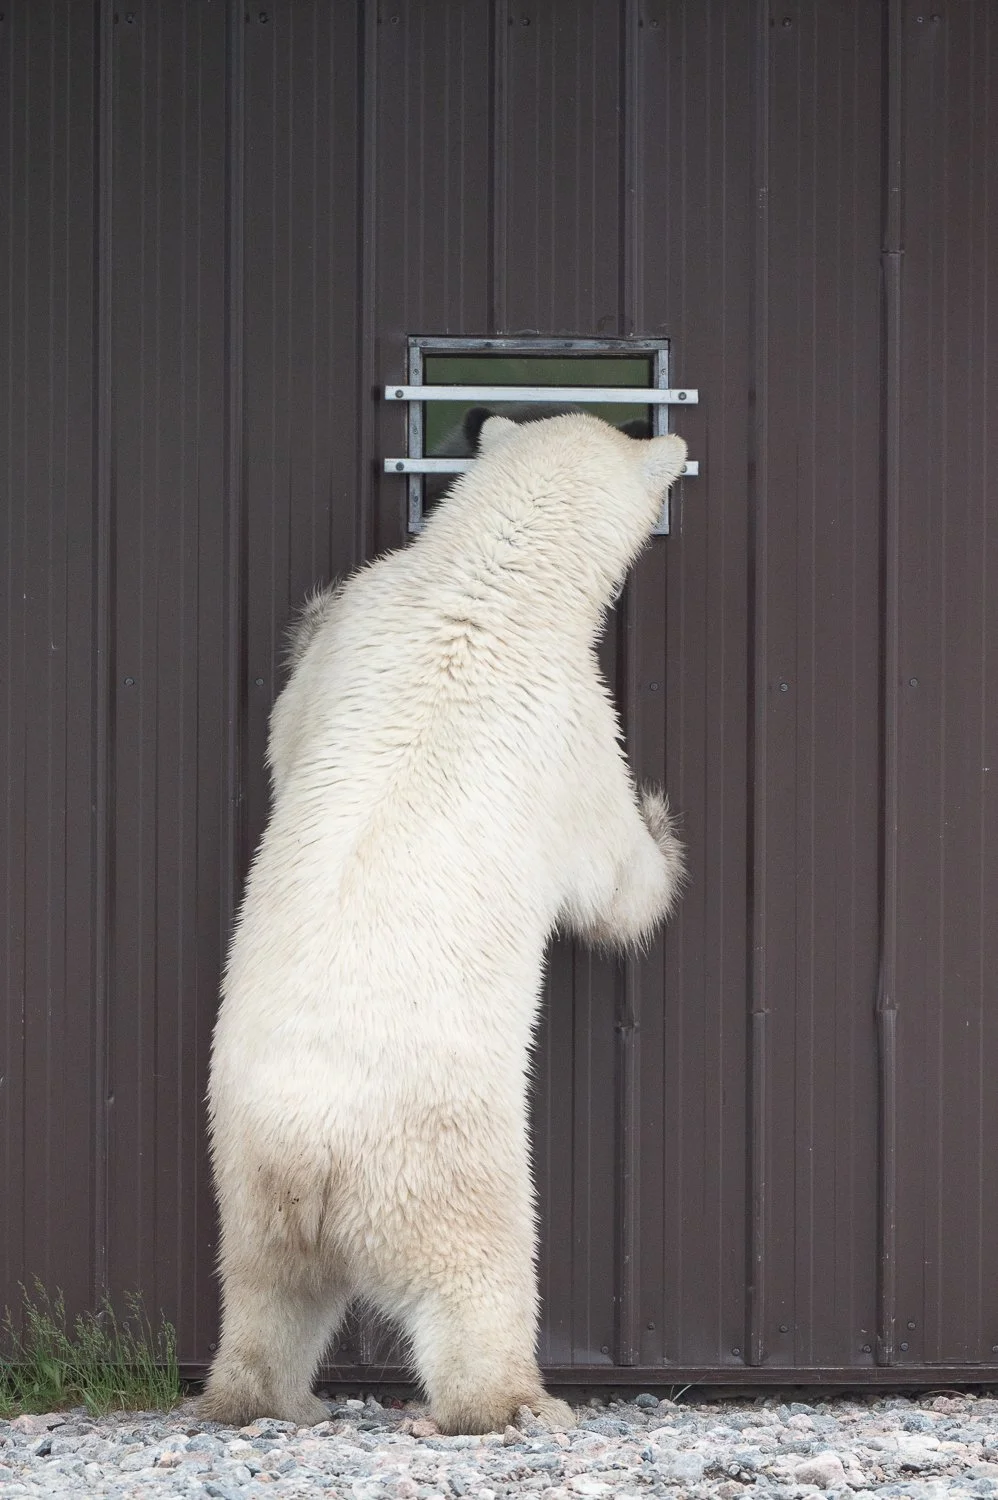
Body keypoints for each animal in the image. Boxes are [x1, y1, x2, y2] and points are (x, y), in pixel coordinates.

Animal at [200, 413, 688, 1435]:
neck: (482, 581)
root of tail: (313, 1154)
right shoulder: (572, 723)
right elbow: (610, 873)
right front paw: (662, 833)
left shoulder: (361, 627)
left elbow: (283, 724)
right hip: (443, 1163)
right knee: (480, 1278)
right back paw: (516, 1401)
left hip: (246, 1173)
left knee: (269, 1294)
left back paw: (273, 1397)